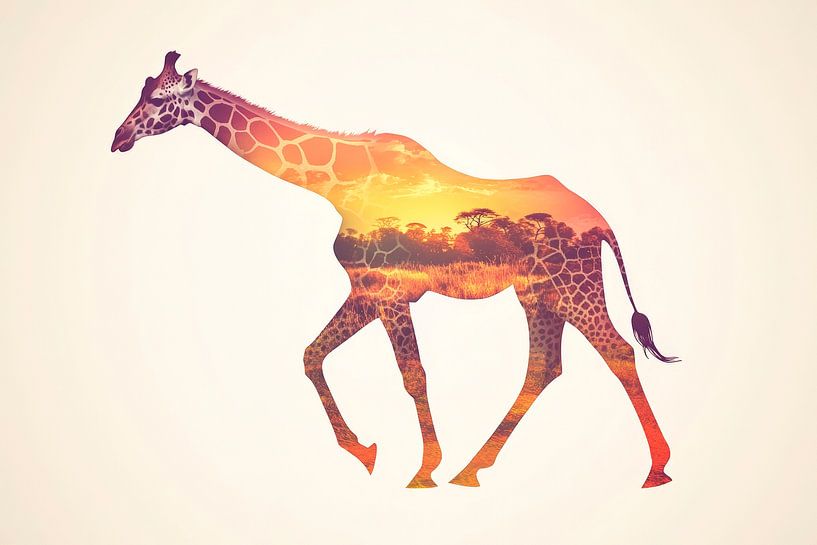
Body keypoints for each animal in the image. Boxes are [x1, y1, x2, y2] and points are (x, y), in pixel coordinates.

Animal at [112, 51, 678, 489]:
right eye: (142, 90)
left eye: (159, 100)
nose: (118, 138)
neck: (335, 183)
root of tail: (602, 222)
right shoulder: (367, 288)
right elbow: (311, 356)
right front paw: (366, 453)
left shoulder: (389, 290)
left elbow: (412, 375)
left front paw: (423, 471)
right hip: (537, 291)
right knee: (544, 367)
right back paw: (472, 470)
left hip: (572, 283)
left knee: (618, 351)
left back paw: (656, 469)